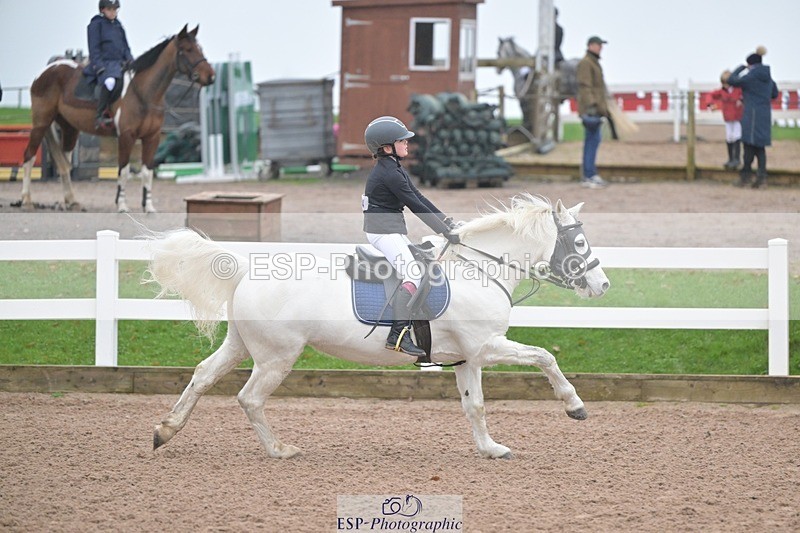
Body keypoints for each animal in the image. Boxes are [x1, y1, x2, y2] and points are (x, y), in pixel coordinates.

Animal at [20, 25, 215, 213]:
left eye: (200, 48)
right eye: (188, 49)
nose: (211, 76)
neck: (143, 93)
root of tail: (45, 72)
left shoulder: (152, 138)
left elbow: (147, 172)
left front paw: (148, 206)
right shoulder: (126, 137)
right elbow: (124, 171)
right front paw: (121, 205)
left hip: (69, 128)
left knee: (65, 162)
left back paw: (71, 201)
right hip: (41, 124)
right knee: (29, 156)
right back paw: (26, 200)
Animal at [147, 194, 610, 459]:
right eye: (579, 242)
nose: (603, 285)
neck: (479, 269)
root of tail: (245, 268)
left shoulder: (468, 358)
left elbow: (474, 405)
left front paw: (490, 449)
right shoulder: (488, 347)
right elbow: (545, 357)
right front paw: (574, 405)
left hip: (241, 345)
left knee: (203, 375)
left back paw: (165, 431)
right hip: (276, 357)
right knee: (250, 398)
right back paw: (280, 450)